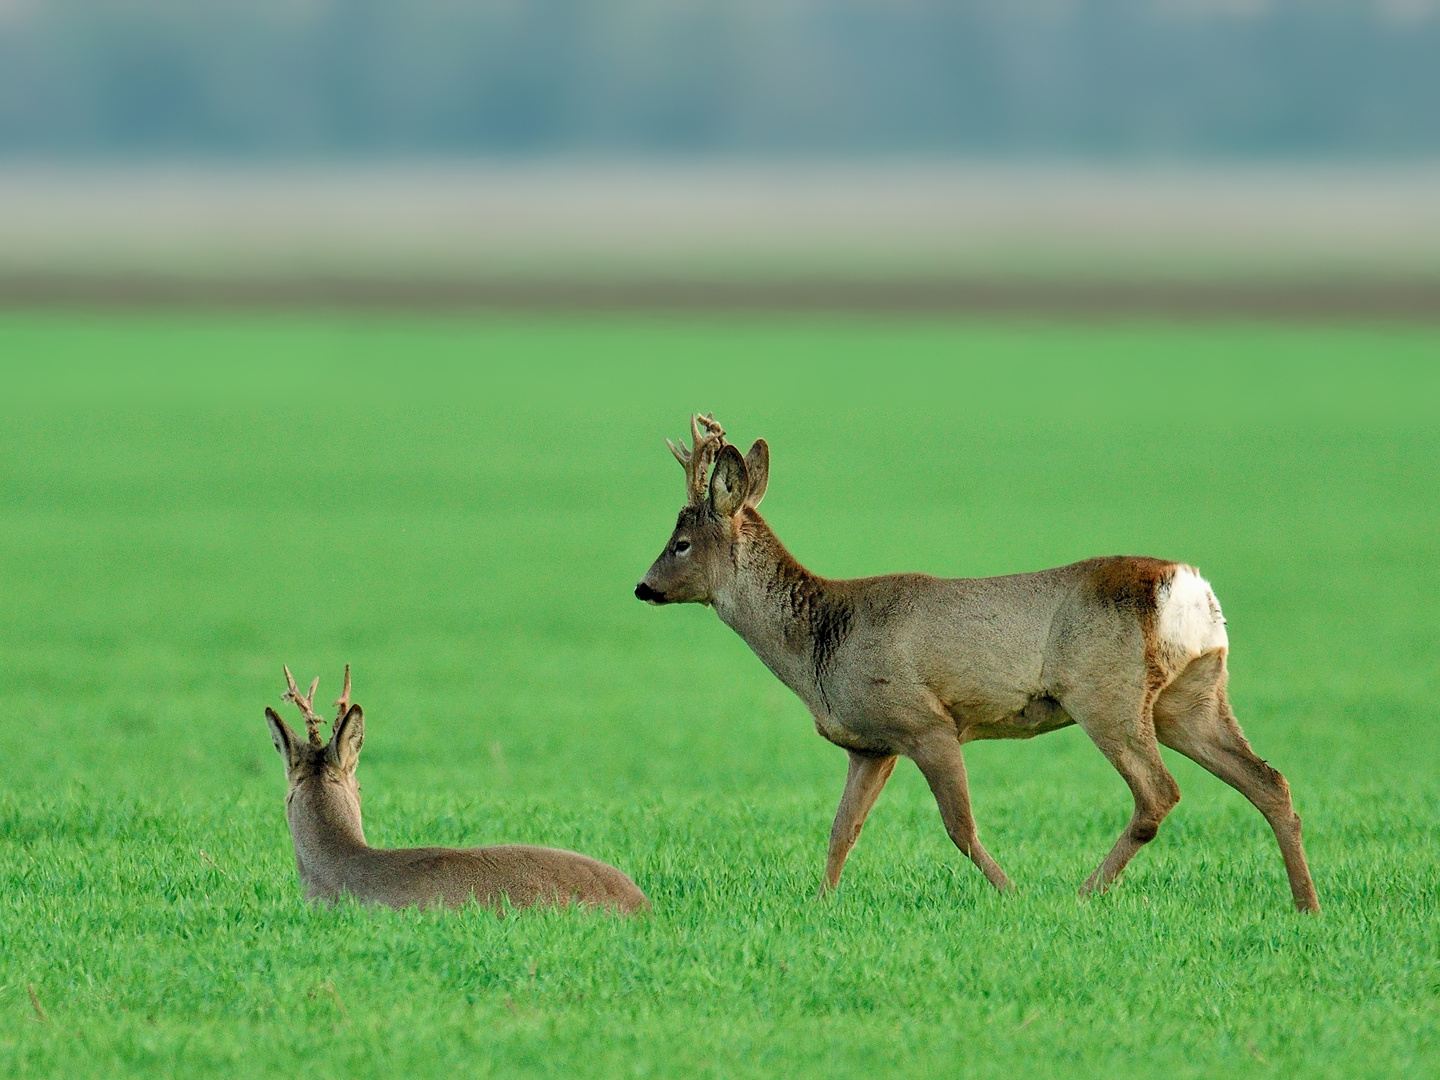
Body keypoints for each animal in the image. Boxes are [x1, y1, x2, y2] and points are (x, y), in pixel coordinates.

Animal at [636, 414, 1319, 915]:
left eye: (681, 543)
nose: (643, 587)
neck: (818, 645)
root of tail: (1189, 588)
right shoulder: (870, 744)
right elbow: (841, 830)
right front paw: (821, 905)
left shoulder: (925, 721)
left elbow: (958, 826)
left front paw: (1012, 894)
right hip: (1191, 696)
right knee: (1269, 781)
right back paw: (1306, 905)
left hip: (1106, 693)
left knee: (1159, 793)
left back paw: (1082, 894)